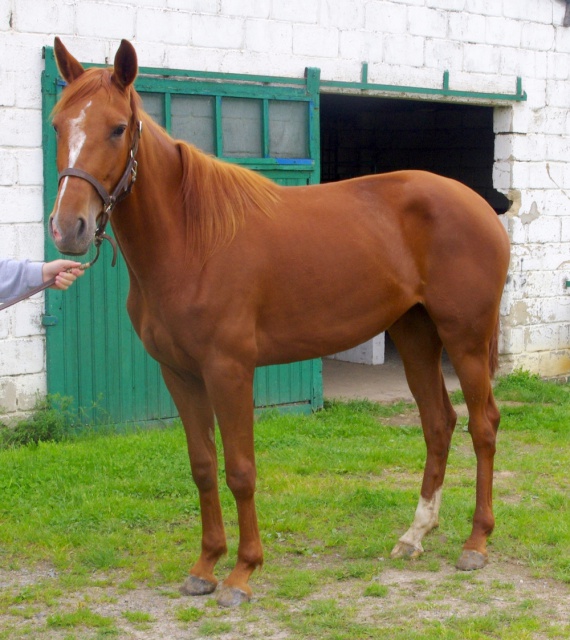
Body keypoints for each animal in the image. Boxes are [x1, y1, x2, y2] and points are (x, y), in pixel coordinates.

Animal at [50, 37, 510, 608]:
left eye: (117, 128)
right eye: (56, 125)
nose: (69, 228)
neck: (192, 240)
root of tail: (480, 205)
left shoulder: (229, 370)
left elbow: (240, 470)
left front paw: (242, 573)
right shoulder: (179, 374)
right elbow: (203, 467)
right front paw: (205, 566)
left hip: (465, 339)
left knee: (483, 426)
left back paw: (476, 543)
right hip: (416, 335)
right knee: (438, 423)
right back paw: (414, 535)